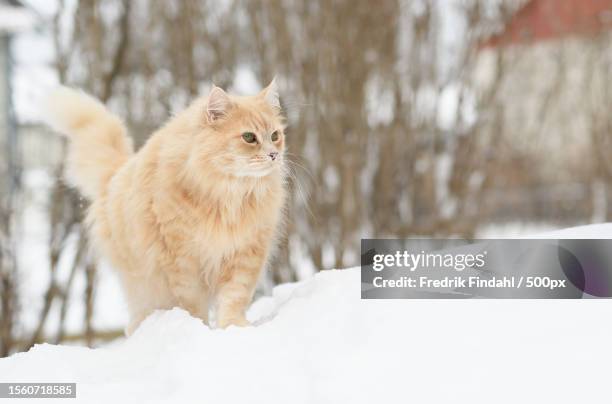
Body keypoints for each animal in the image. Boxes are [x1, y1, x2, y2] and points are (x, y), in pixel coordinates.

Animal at [44, 81, 288, 334]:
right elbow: (193, 303)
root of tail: (117, 173)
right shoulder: (182, 259)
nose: (274, 154)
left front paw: (233, 327)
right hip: (145, 289)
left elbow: (235, 296)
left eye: (275, 135)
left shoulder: (246, 253)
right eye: (249, 137)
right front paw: (197, 327)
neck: (228, 193)